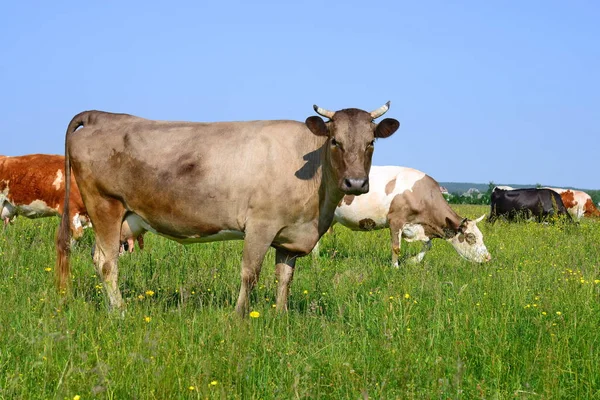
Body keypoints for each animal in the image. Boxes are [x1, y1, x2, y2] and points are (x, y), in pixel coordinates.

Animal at [316, 166, 490, 266]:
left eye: (482, 236)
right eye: (471, 238)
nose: (488, 258)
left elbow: (428, 245)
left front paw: (413, 261)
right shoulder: (395, 221)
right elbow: (396, 247)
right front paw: (395, 267)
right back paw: (315, 259)